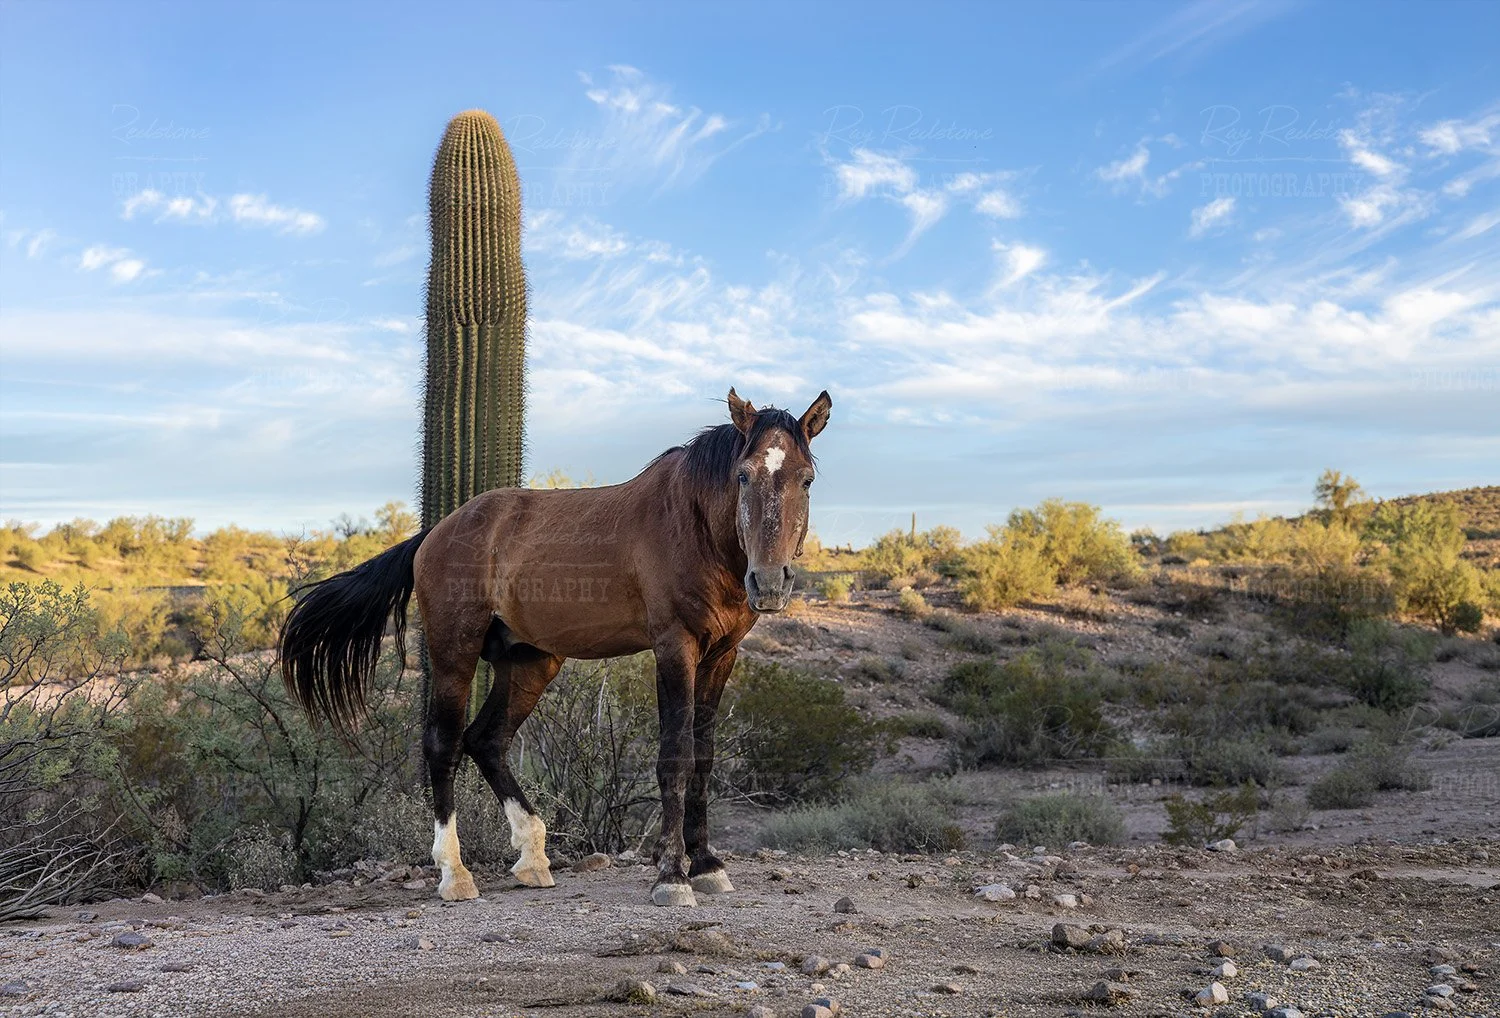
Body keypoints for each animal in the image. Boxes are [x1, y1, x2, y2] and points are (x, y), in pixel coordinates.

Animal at [278, 387, 832, 907]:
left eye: (805, 479)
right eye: (743, 476)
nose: (769, 581)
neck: (695, 526)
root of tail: (435, 532)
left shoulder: (721, 656)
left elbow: (704, 757)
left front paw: (708, 865)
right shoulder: (675, 648)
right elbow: (676, 756)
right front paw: (672, 876)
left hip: (530, 664)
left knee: (487, 740)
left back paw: (533, 857)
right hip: (454, 653)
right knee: (443, 743)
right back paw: (455, 873)